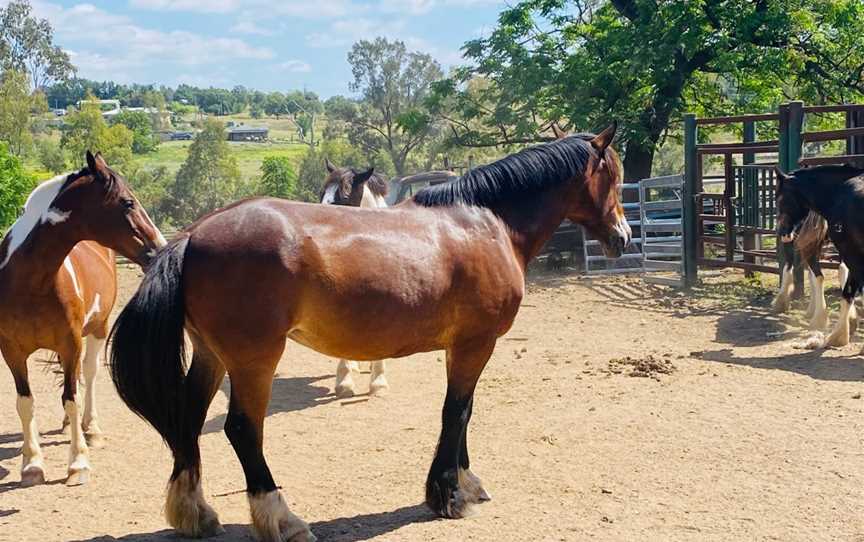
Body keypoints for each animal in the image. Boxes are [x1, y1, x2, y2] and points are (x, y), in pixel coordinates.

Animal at [0, 153, 167, 488]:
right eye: (128, 202)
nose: (160, 246)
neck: (30, 282)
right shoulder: (11, 351)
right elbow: (25, 402)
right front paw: (32, 463)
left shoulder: (71, 344)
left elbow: (72, 398)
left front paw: (78, 463)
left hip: (97, 330)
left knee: (87, 376)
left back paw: (92, 429)